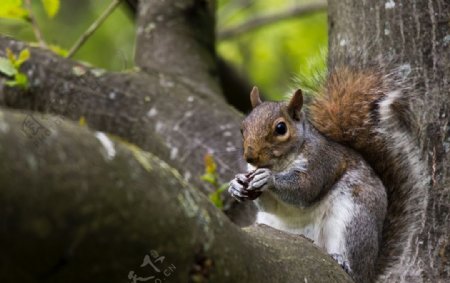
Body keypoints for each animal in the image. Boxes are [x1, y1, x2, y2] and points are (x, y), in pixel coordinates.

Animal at [229, 65, 428, 283]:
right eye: (243, 128)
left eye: (281, 128)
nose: (250, 156)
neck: (279, 165)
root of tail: (370, 272)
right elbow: (269, 205)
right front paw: (236, 185)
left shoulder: (321, 162)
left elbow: (305, 190)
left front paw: (268, 179)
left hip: (354, 219)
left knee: (354, 263)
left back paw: (343, 262)